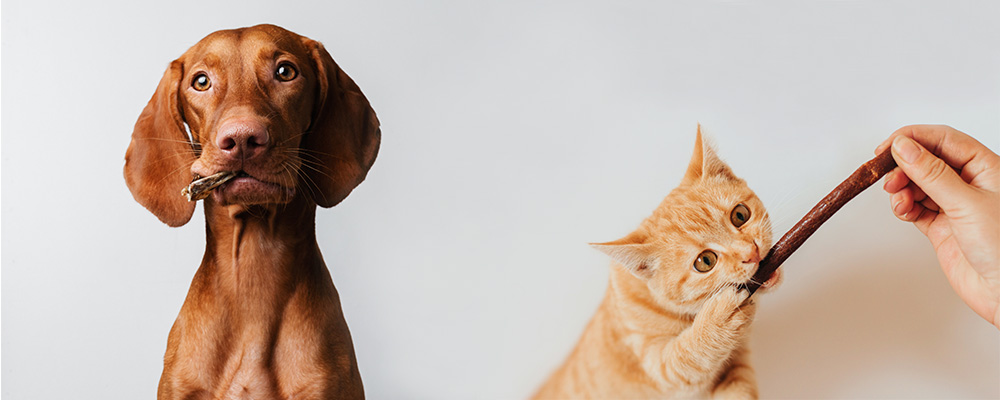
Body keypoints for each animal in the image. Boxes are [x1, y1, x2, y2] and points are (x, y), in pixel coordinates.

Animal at [536, 130, 784, 398]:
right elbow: (686, 356)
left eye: (740, 215)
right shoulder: (659, 368)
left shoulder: (736, 370)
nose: (752, 252)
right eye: (705, 261)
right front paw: (719, 317)